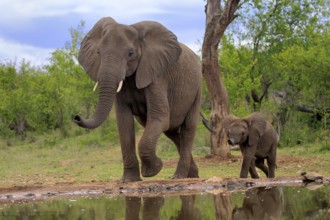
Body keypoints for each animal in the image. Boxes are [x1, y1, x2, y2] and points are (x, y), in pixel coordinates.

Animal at [73, 16, 201, 182]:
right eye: (98, 52)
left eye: (130, 53)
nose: (76, 117)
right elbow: (124, 123)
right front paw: (129, 180)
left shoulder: (157, 76)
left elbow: (160, 117)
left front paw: (153, 170)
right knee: (172, 132)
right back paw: (192, 175)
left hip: (197, 89)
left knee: (187, 129)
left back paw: (178, 176)